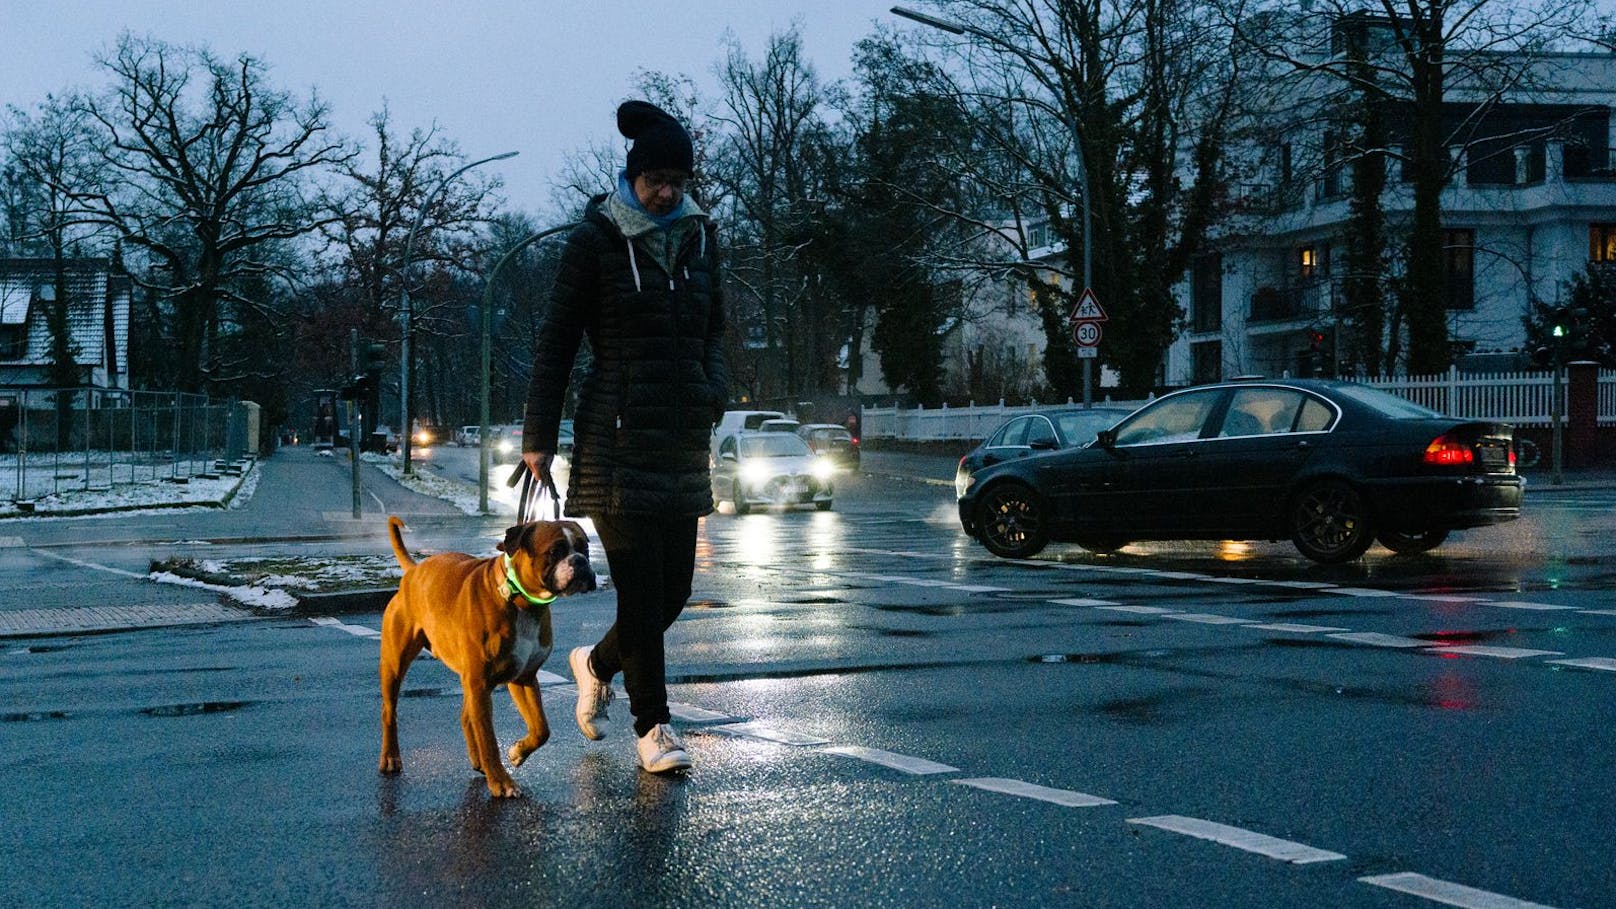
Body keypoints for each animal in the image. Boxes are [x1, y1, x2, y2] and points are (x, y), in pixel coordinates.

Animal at [381, 514, 597, 795]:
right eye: (555, 551)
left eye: (585, 548)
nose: (580, 561)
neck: (521, 601)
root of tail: (414, 571)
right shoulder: (481, 683)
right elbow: (489, 739)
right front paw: (501, 782)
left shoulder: (523, 679)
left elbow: (541, 729)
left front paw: (517, 752)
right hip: (395, 665)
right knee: (389, 711)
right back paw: (390, 758)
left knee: (466, 717)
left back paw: (478, 761)